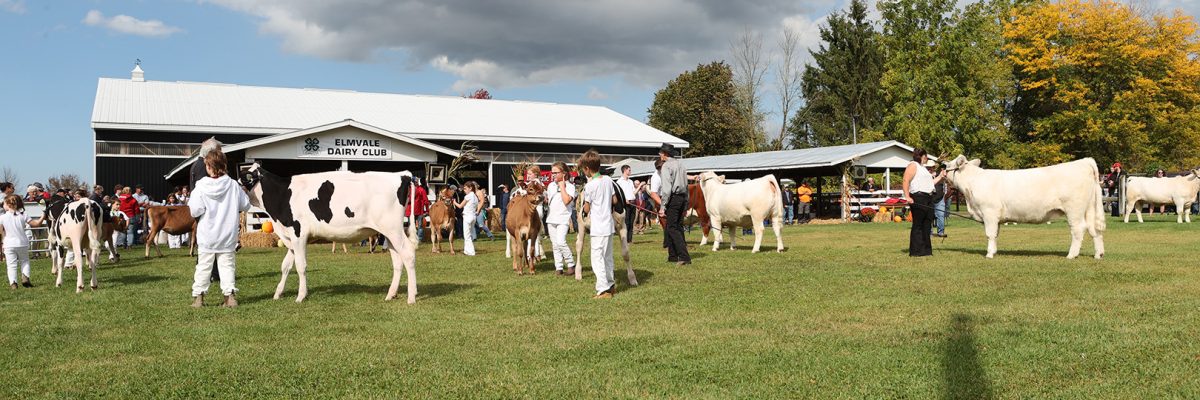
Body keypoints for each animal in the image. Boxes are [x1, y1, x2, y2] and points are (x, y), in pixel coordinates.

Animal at [236, 162, 420, 302]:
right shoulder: (290, 237)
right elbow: (285, 266)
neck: (282, 195)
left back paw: (411, 296)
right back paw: (391, 294)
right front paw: (278, 293)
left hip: (393, 229)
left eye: (244, 178)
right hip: (389, 233)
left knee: (408, 254)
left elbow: (300, 266)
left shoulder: (298, 233)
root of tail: (402, 175)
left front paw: (301, 296)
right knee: (397, 260)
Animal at [945, 153, 1104, 257]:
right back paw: (1099, 254)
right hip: (1089, 208)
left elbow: (990, 234)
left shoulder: (989, 212)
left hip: (1074, 209)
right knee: (1094, 230)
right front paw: (994, 251)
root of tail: (1084, 161)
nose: (942, 165)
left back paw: (1071, 255)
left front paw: (989, 254)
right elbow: (996, 234)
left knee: (1078, 229)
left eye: (948, 165)